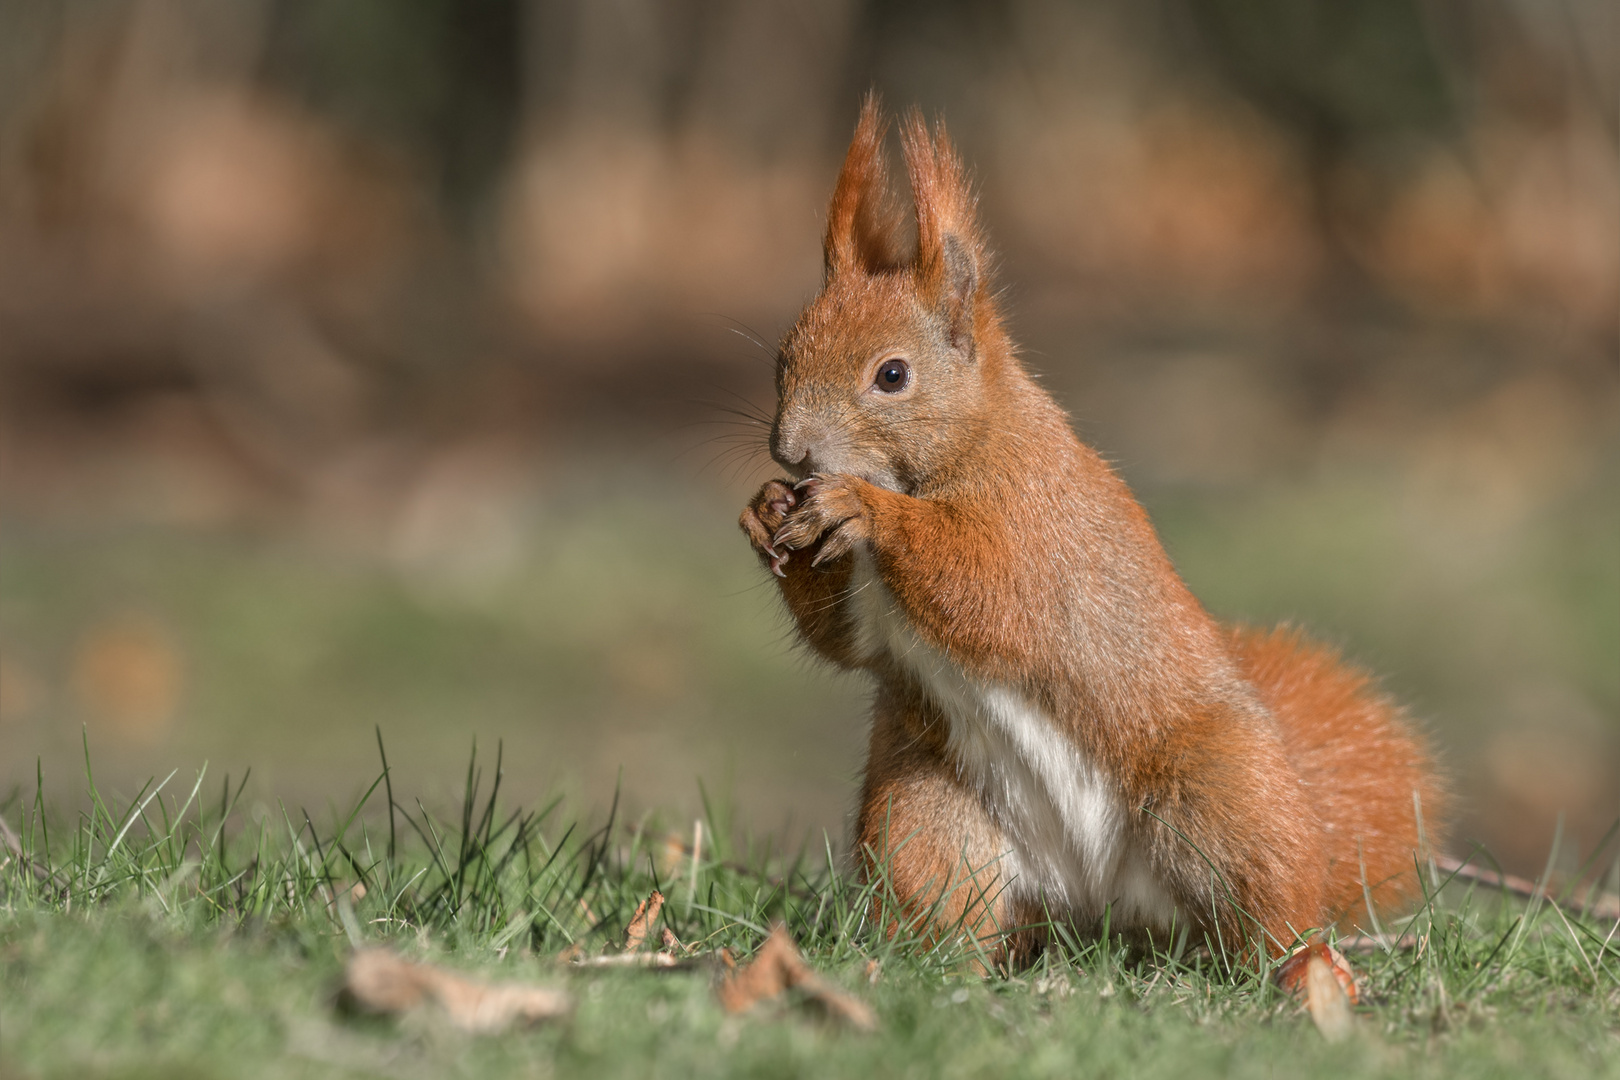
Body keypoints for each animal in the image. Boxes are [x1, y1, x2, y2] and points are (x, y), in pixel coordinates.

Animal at [741, 99, 1438, 965]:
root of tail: (1099, 903)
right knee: (948, 900)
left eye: (892, 375)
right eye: (783, 358)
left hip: (1225, 797)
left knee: (1268, 905)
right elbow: (846, 642)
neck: (968, 442)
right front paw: (766, 510)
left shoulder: (1039, 521)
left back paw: (1291, 966)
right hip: (928, 814)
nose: (791, 451)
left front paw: (860, 508)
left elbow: (988, 588)